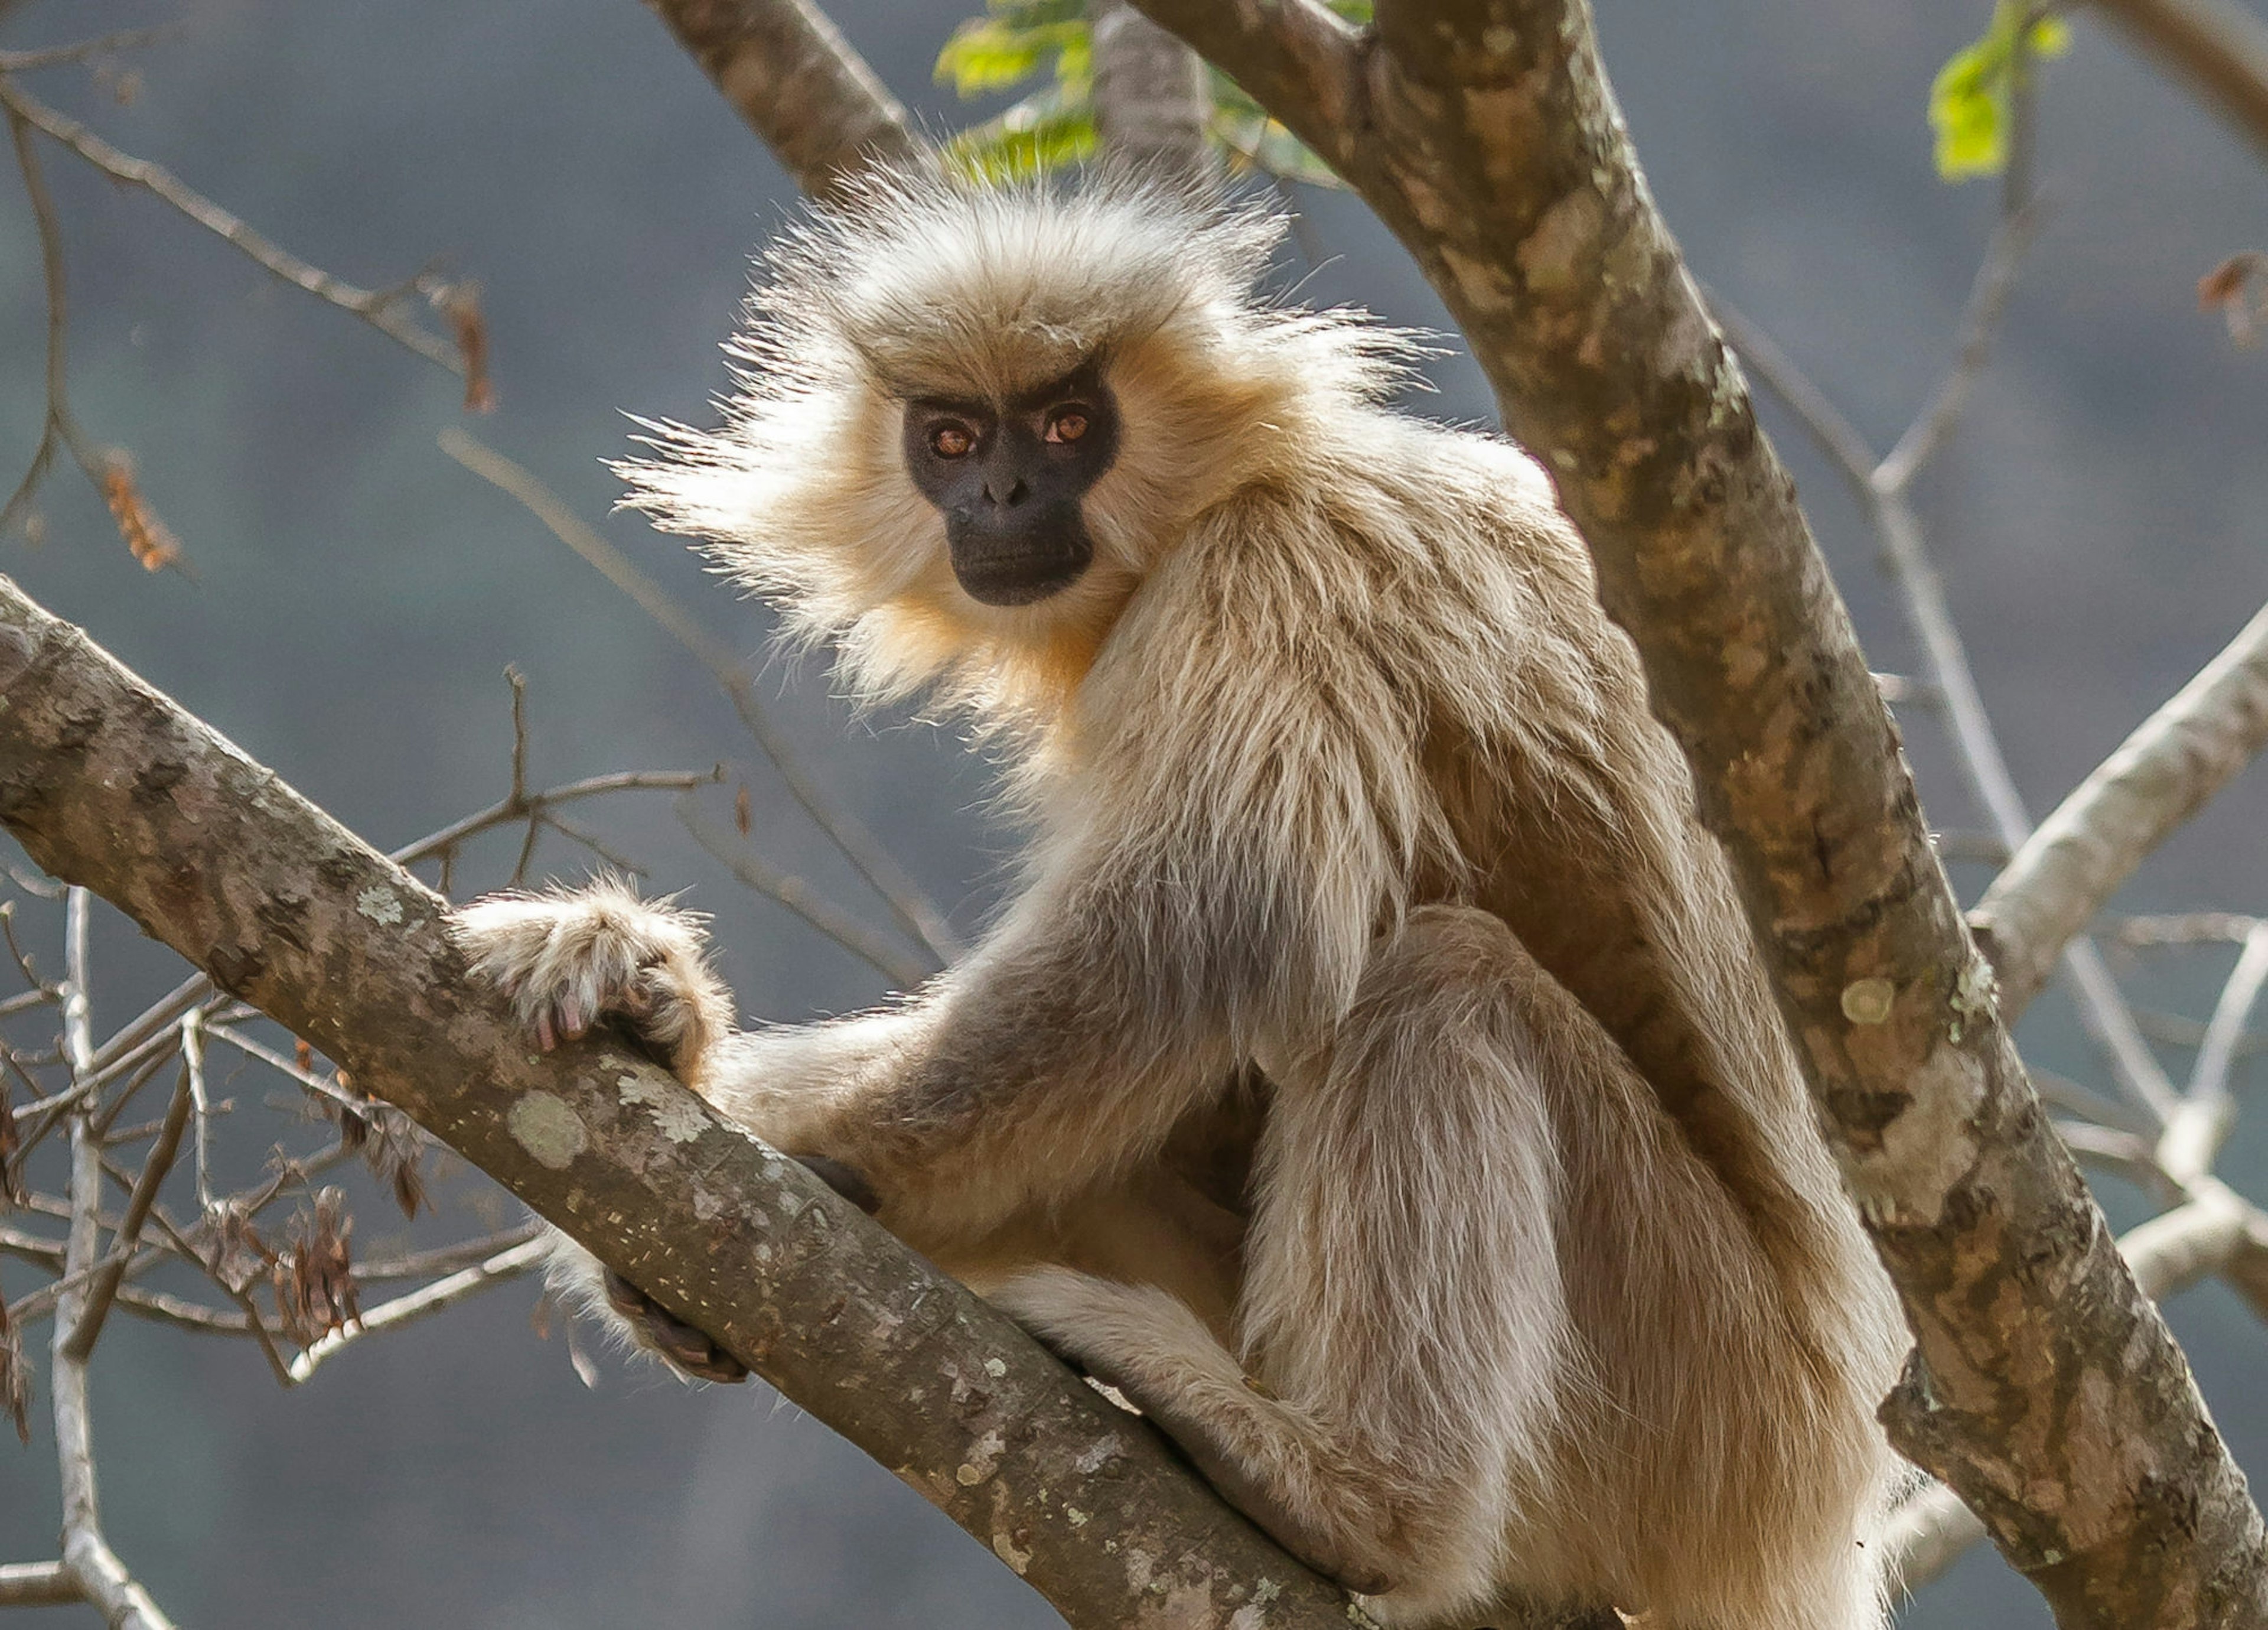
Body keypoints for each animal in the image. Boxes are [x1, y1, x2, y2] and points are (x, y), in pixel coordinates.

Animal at [455, 169, 1914, 1630]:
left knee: (1434, 980)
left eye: (1065, 422)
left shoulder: (1278, 568)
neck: (1232, 487)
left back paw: (1359, 1499)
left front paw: (790, 1132)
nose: (1000, 487)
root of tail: (1817, 1521)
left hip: (1712, 1402)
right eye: (949, 434)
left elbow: (1207, 930)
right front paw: (651, 1000)